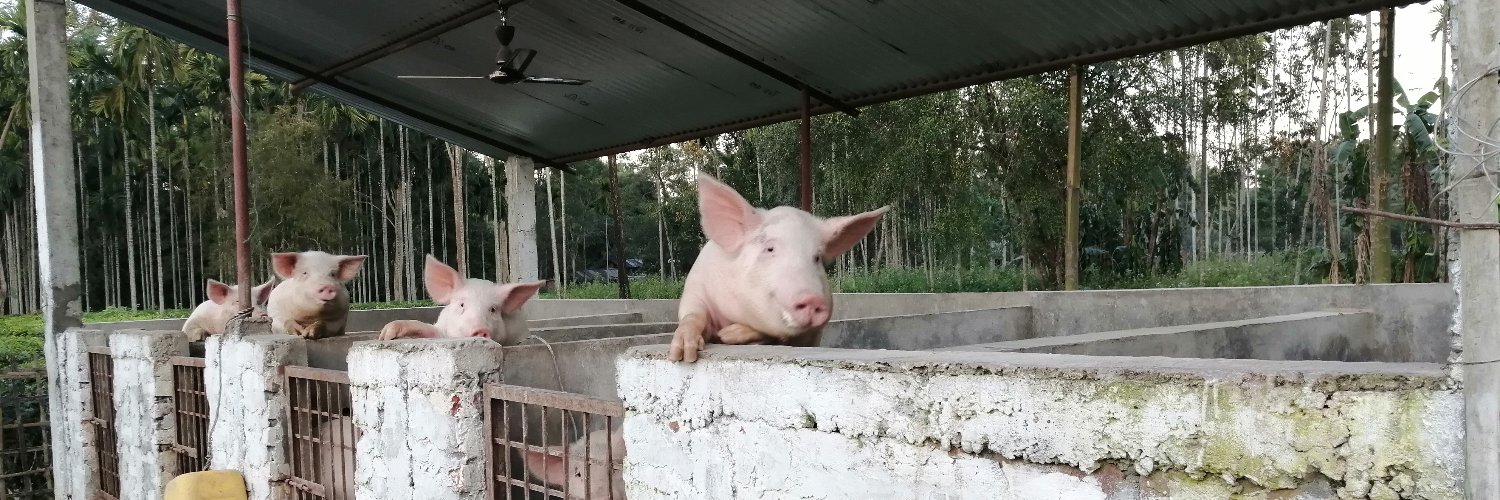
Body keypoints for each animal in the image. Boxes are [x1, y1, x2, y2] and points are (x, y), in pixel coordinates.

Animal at [669, 173, 889, 362]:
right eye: (770, 248)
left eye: (817, 258)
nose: (813, 299)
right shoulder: (697, 287)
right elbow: (692, 314)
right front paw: (682, 355)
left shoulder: (808, 335)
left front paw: (728, 335)